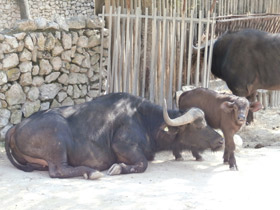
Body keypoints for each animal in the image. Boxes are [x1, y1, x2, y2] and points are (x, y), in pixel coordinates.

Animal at [4, 92, 223, 180]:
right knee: (58, 170)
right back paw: (91, 172)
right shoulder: (122, 146)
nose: (220, 140)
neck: (144, 120)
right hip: (57, 140)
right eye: (199, 125)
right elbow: (142, 164)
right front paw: (118, 168)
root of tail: (16, 126)